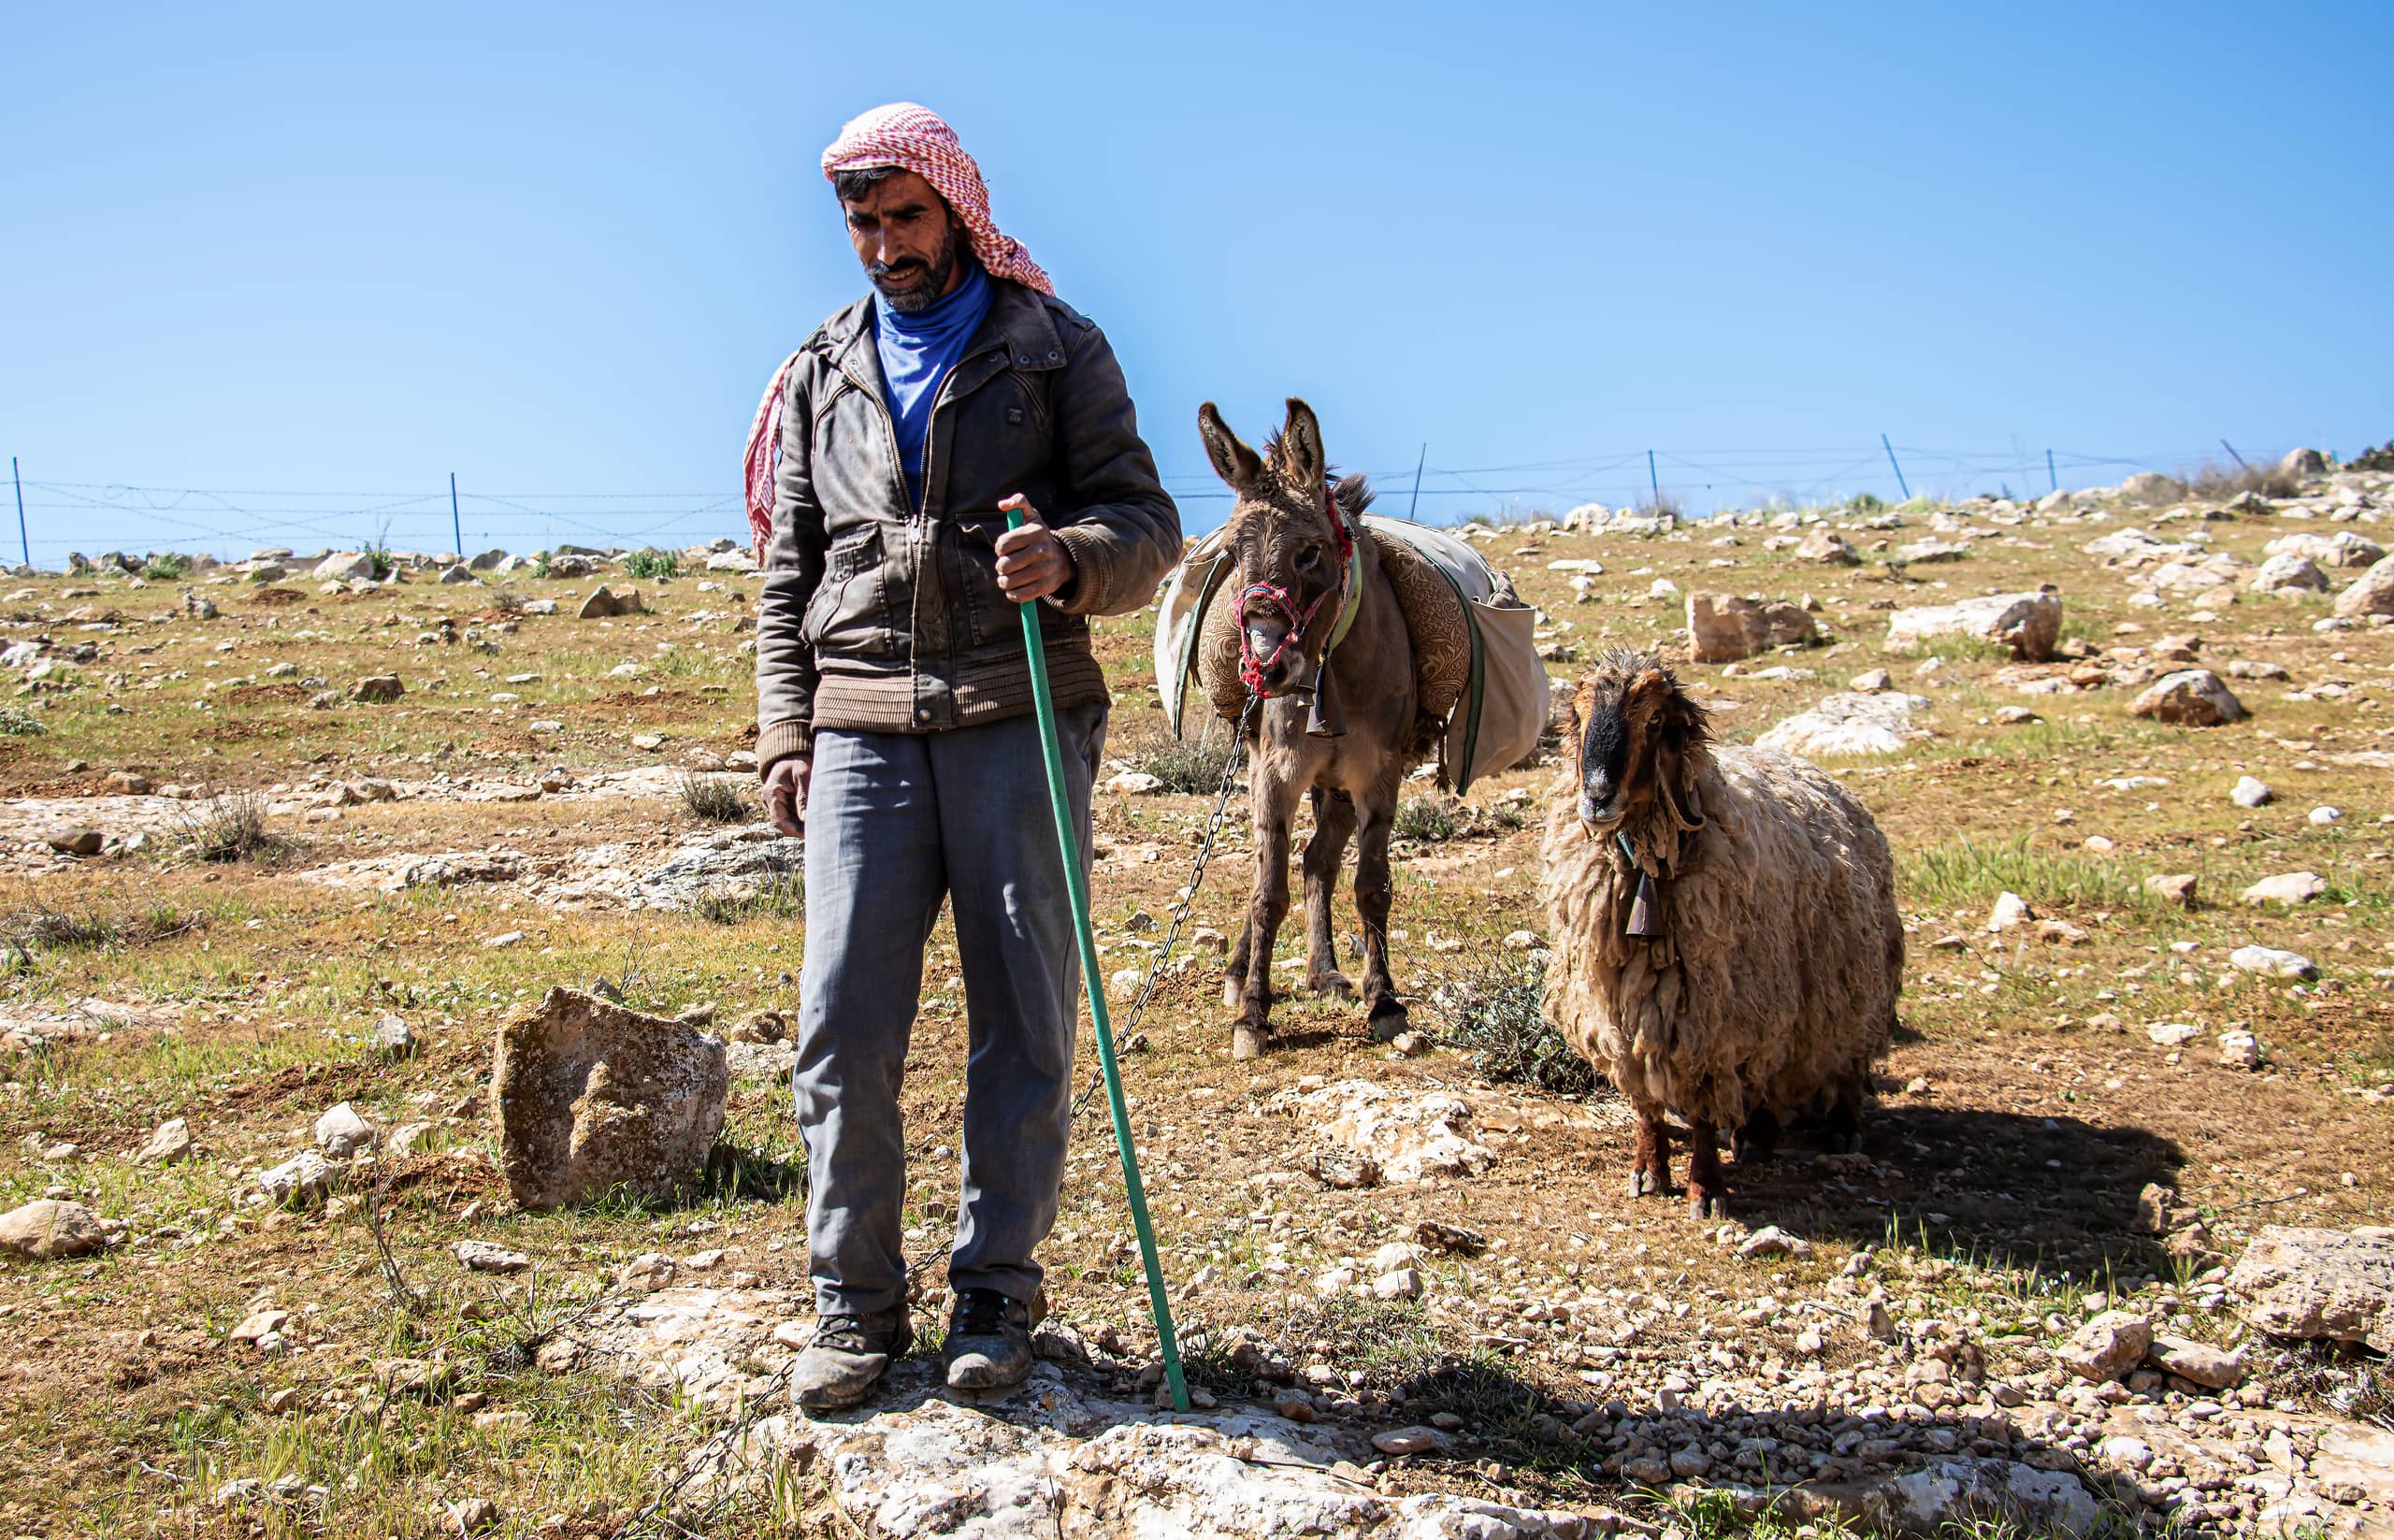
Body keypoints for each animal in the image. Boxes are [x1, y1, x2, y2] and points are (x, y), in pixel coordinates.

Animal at [1540, 649, 1902, 1217]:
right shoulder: (1621, 1010)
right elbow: (1646, 1102)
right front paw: (1648, 1168)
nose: (1597, 797)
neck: (1646, 865)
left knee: (1843, 1055)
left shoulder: (1711, 1016)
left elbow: (1703, 1110)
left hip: (1841, 983)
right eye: (1578, 715)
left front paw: (1705, 1188)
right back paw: (1756, 1135)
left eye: (1655, 720)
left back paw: (1841, 1128)